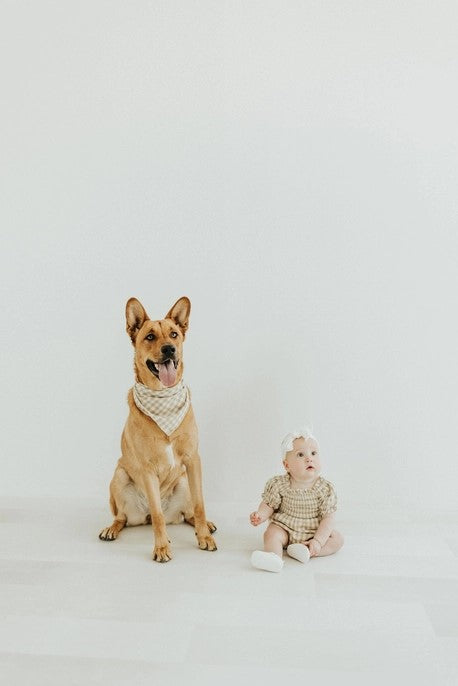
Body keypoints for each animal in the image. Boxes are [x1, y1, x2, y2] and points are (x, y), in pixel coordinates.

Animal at [99, 296, 216, 564]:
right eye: (150, 337)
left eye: (174, 334)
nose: (169, 349)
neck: (163, 400)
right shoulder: (148, 469)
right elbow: (159, 517)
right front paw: (161, 547)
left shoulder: (193, 460)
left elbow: (200, 505)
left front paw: (204, 536)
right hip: (119, 476)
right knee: (126, 517)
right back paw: (112, 528)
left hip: (183, 480)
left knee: (187, 513)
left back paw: (204, 526)